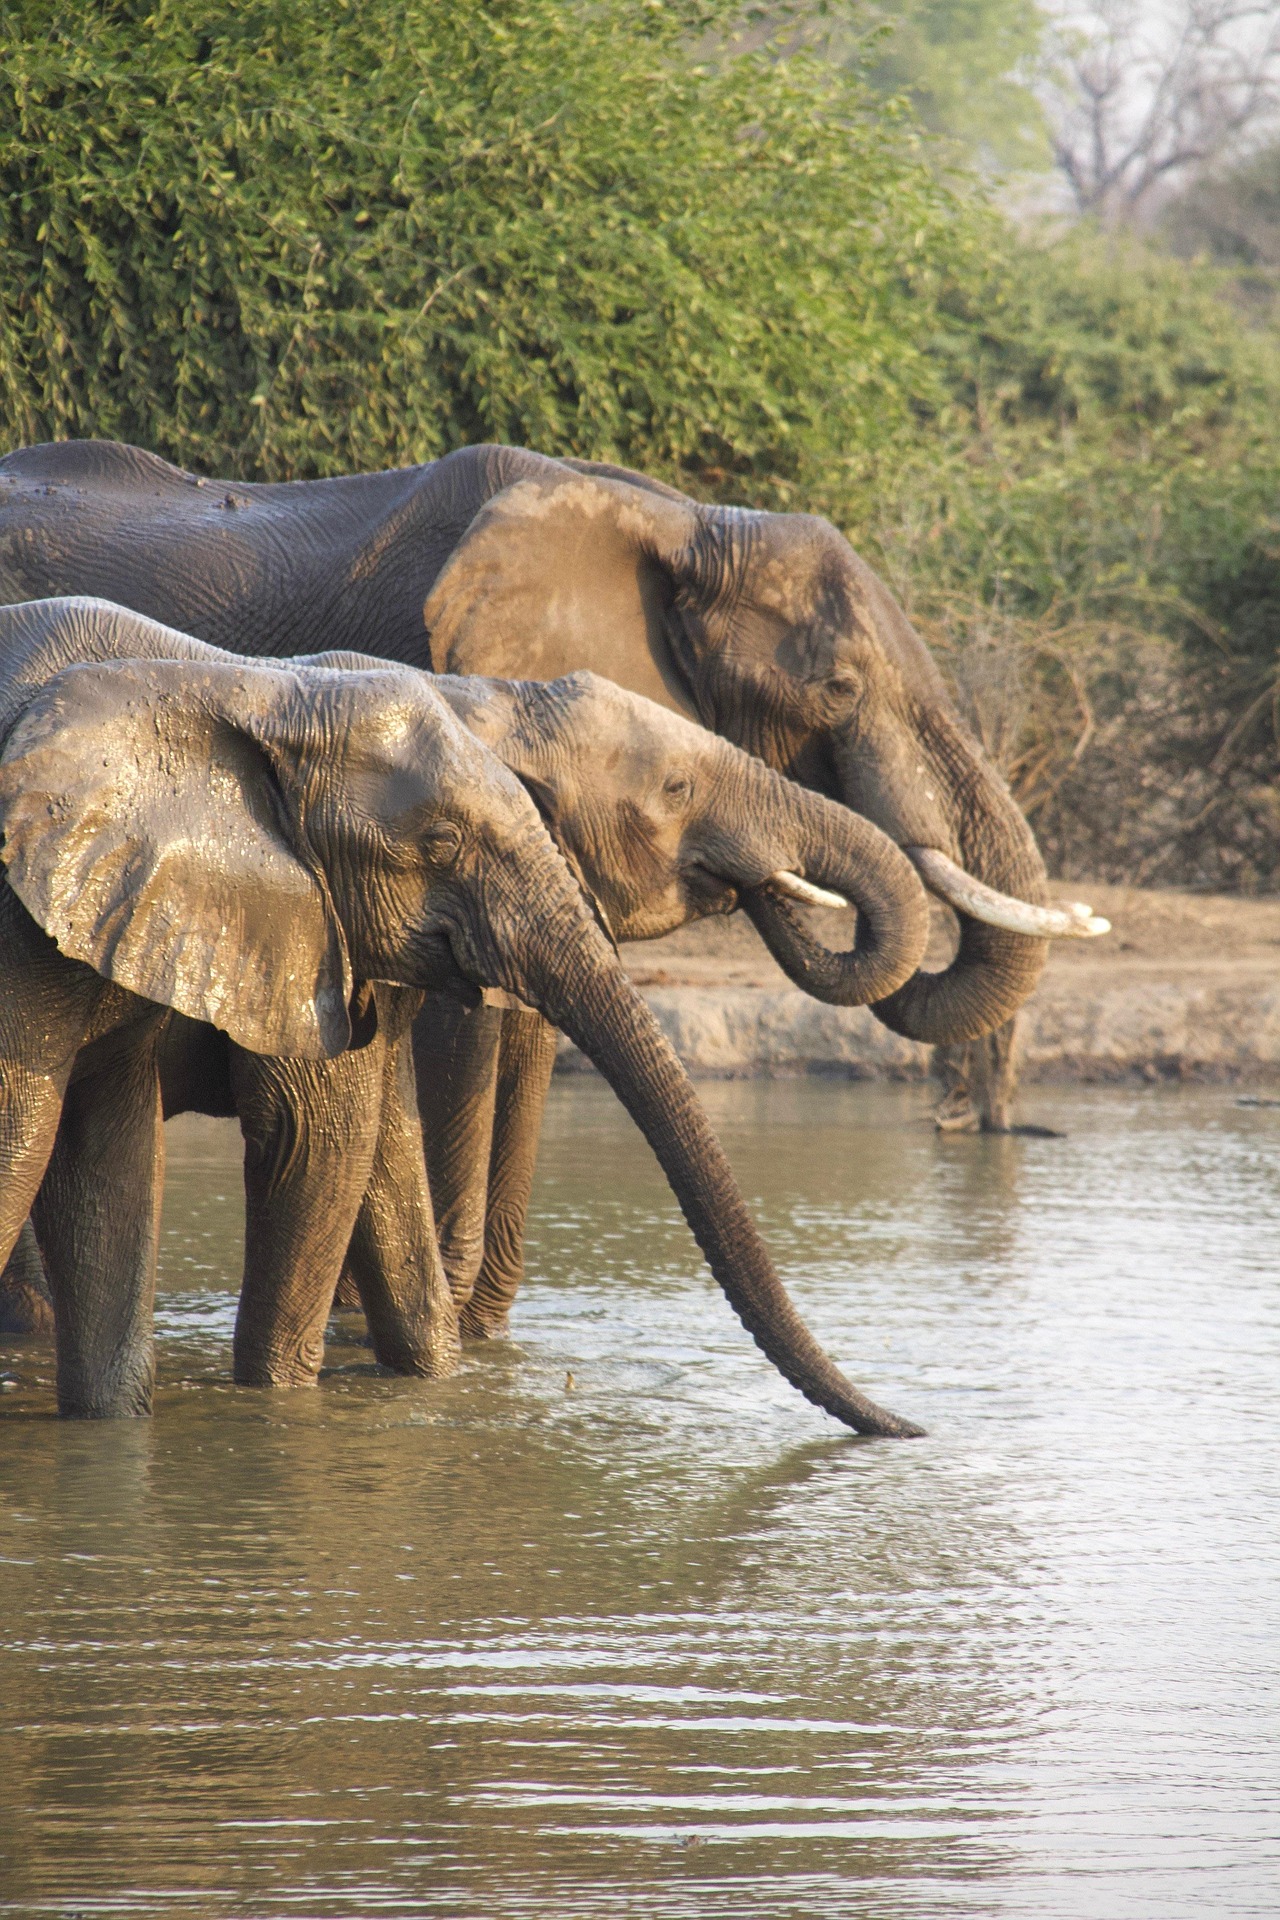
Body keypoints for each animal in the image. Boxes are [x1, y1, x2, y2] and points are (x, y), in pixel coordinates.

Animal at [0, 591, 924, 1436]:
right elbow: (315, 1136)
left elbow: (367, 1143)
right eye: (676, 786)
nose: (913, 1427)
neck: (256, 691)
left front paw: (440, 1389)